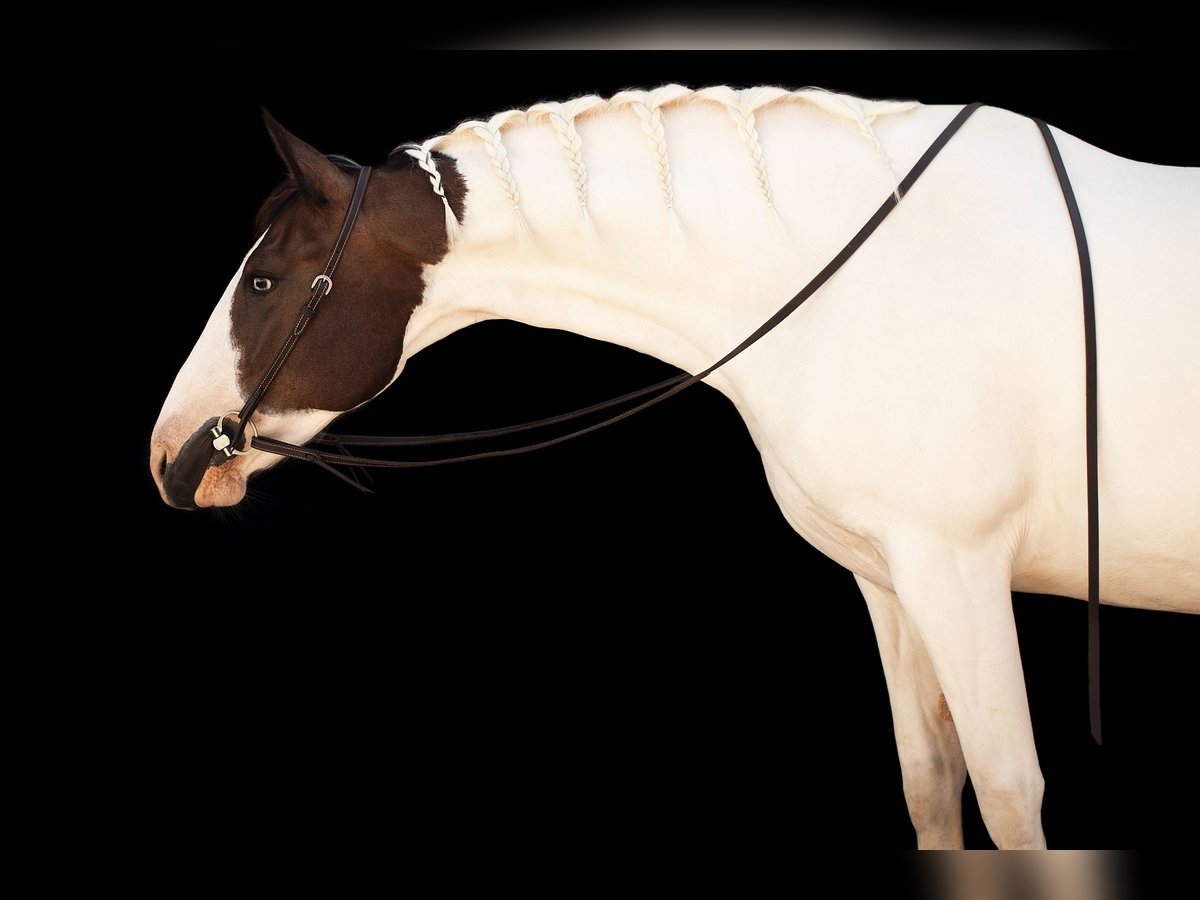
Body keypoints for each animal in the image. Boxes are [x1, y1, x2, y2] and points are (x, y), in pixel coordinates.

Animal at [149, 85, 1199, 848]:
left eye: (263, 280)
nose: (170, 454)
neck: (867, 282)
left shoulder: (961, 570)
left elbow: (1010, 794)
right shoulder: (892, 580)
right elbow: (932, 783)